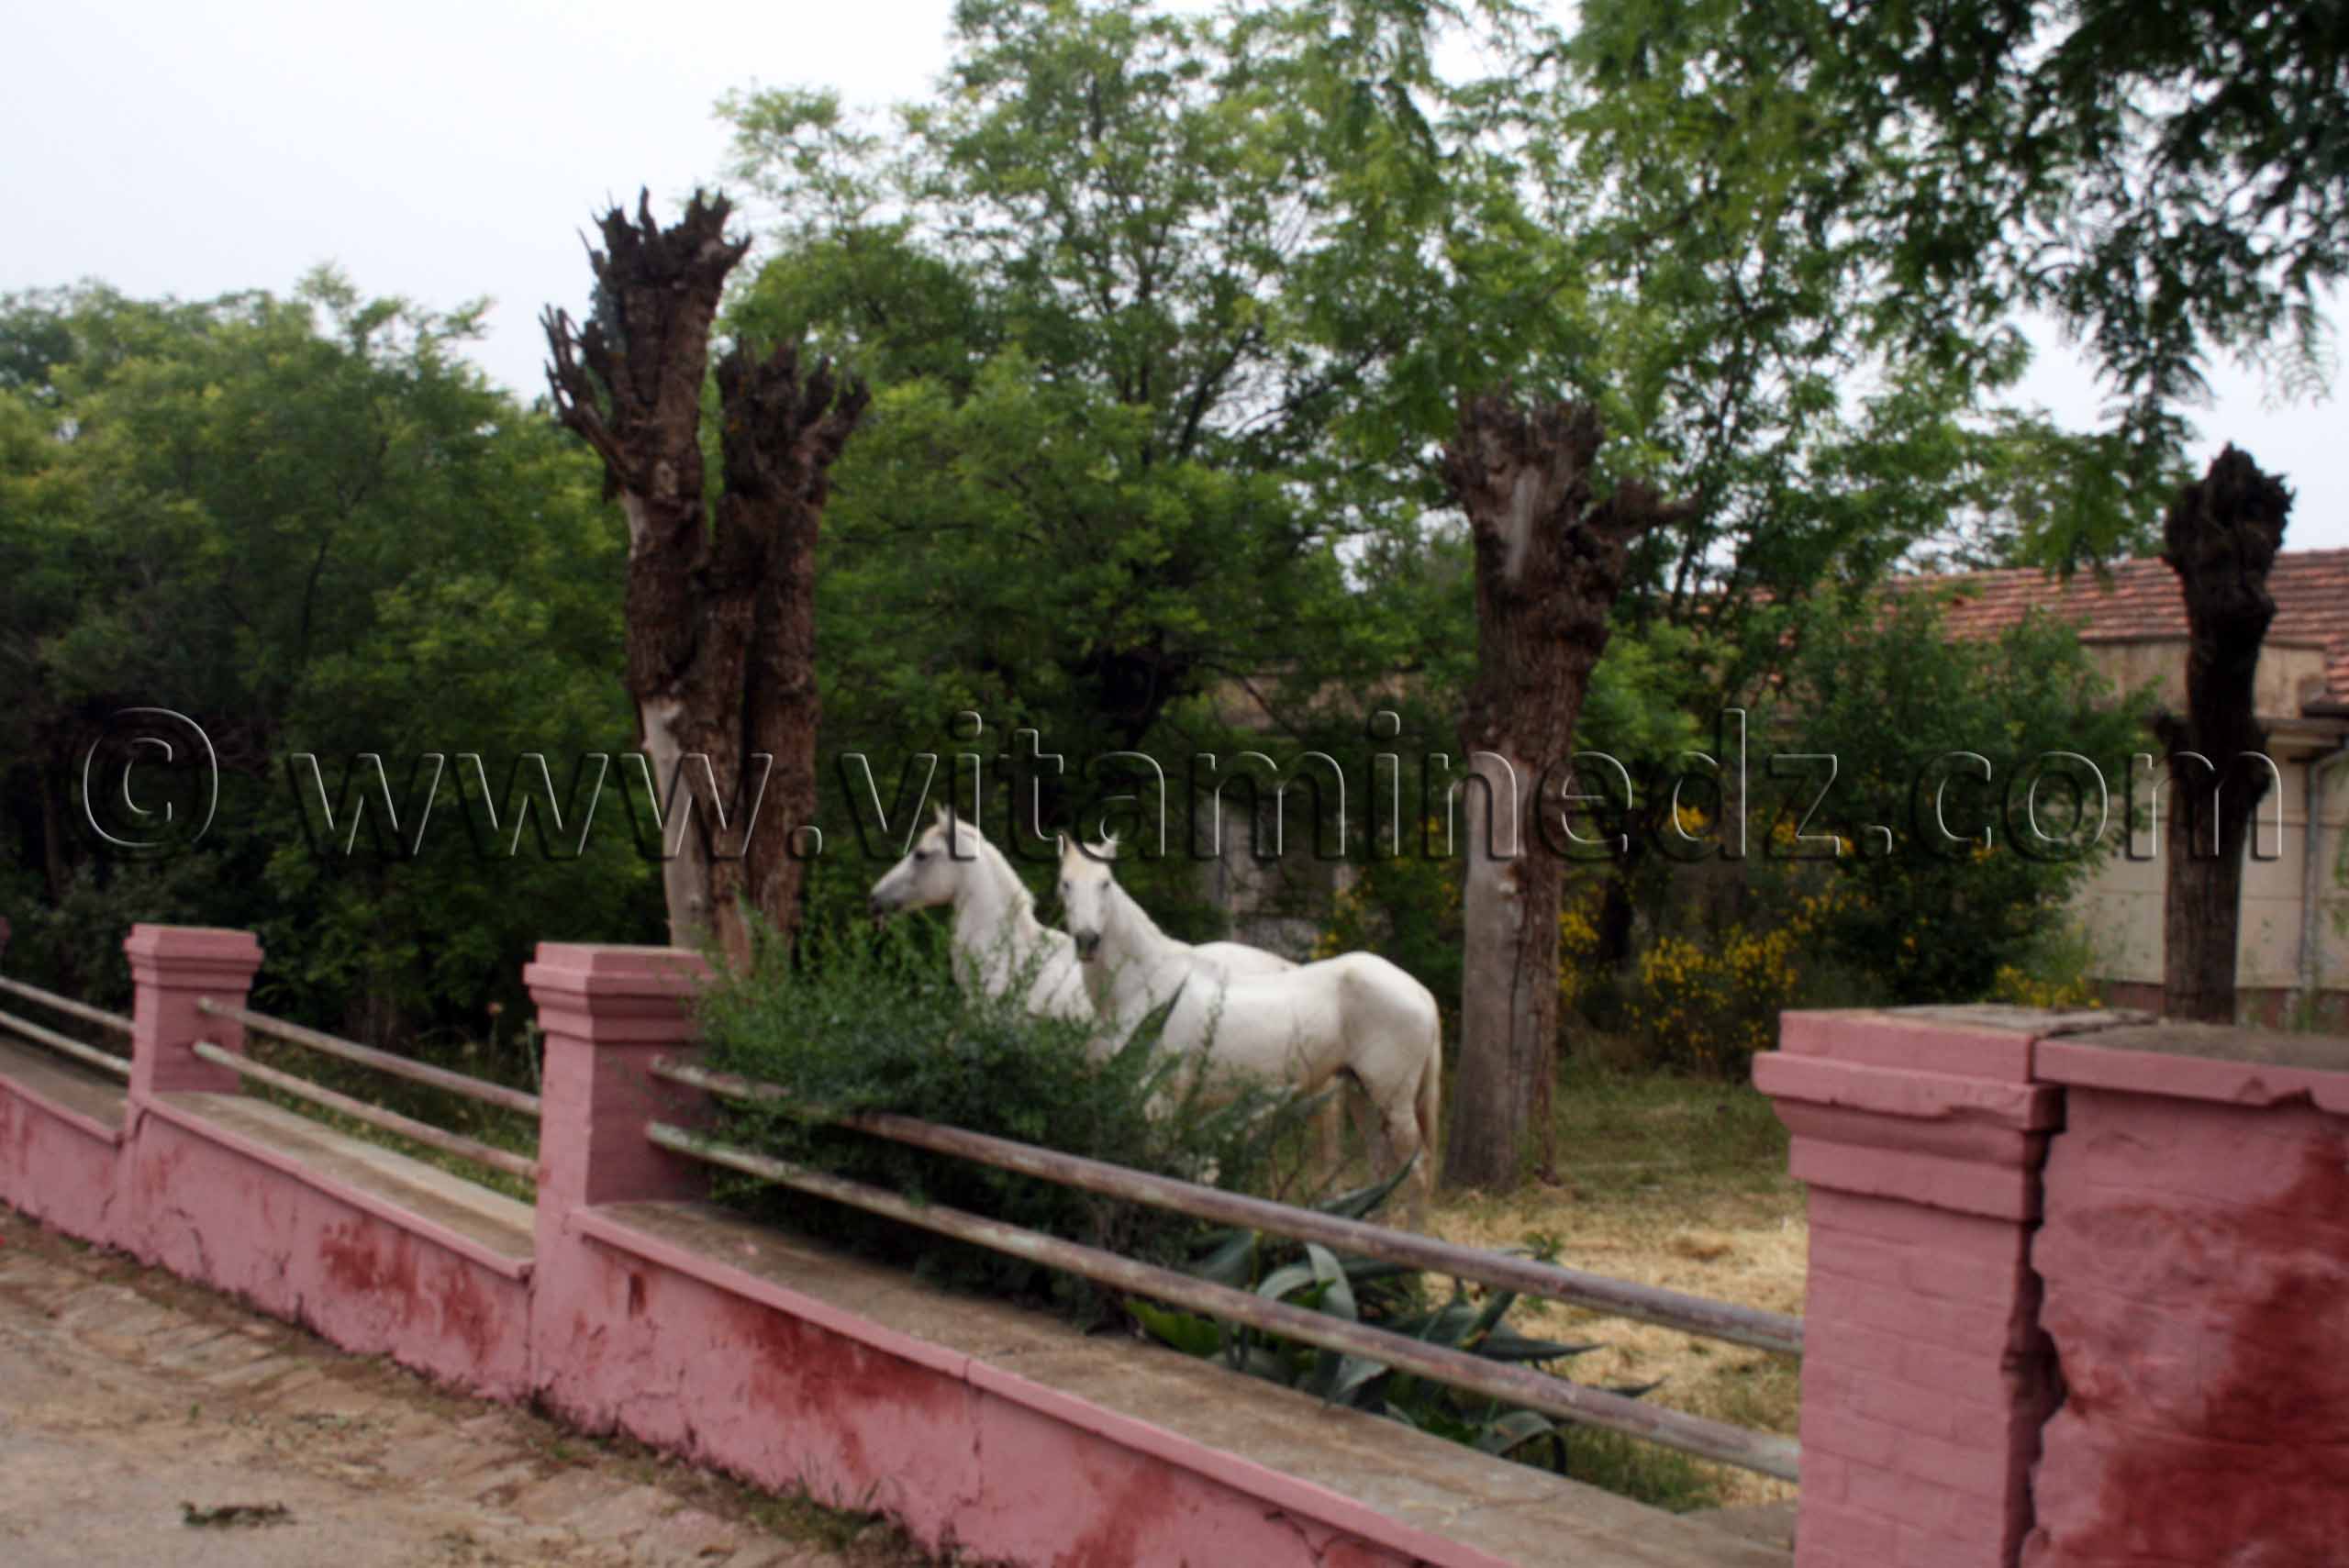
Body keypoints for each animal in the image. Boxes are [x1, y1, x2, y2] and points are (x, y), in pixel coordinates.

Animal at [1056, 835, 1442, 1213]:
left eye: (1105, 883)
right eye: (1065, 883)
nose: (1087, 940)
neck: (1149, 983)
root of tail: (1419, 990)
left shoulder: (1157, 1102)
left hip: (1393, 1101)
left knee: (1417, 1172)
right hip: (1362, 1095)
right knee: (1384, 1172)